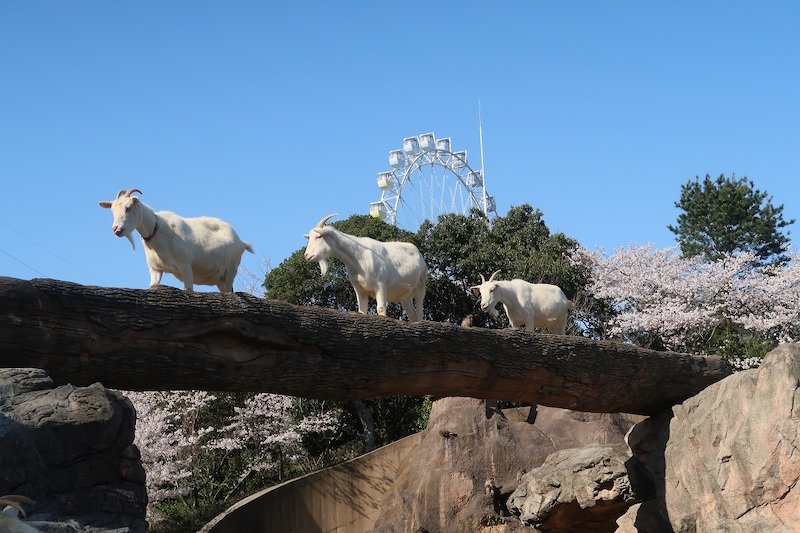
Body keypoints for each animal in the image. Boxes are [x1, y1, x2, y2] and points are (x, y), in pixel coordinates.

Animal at [99, 188, 253, 290]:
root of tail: (241, 242)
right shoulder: (155, 269)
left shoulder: (186, 268)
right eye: (112, 211)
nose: (116, 229)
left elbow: (188, 290)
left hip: (230, 271)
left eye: (128, 207)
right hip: (220, 279)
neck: (156, 228)